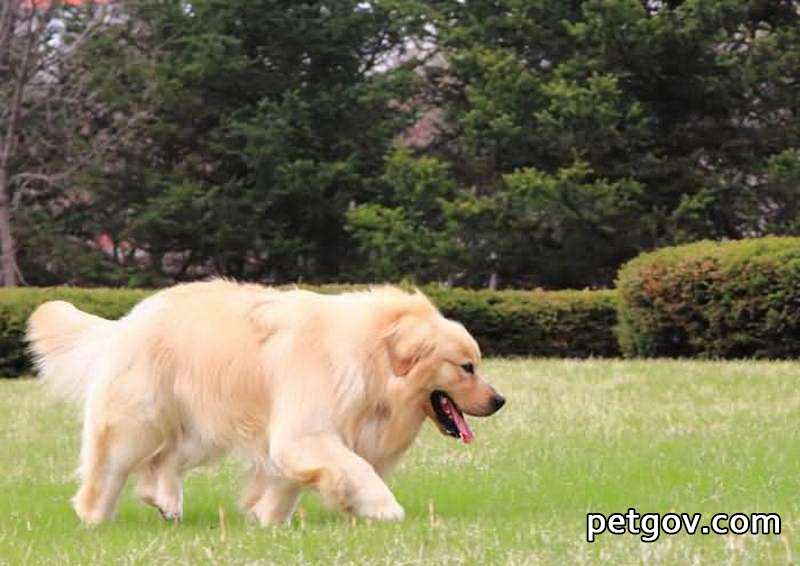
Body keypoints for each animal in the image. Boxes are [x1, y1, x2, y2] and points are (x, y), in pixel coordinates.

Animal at [29, 282, 506, 524]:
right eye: (466, 367)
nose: (499, 400)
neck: (371, 357)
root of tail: (126, 321)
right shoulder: (306, 432)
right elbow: (356, 467)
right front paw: (383, 508)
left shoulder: (295, 438)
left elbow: (287, 481)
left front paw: (267, 519)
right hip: (140, 420)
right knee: (110, 467)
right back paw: (94, 518)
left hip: (201, 428)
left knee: (161, 464)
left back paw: (166, 503)